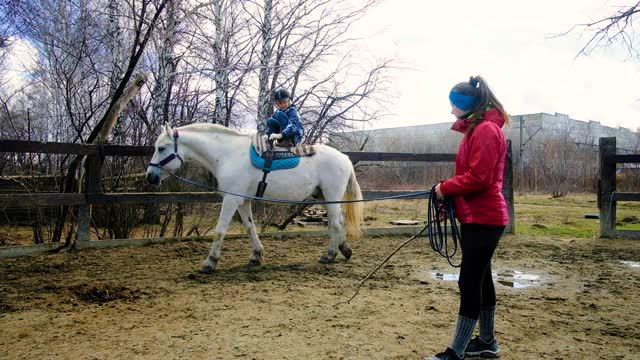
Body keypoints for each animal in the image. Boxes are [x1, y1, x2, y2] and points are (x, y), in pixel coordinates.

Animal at [147, 122, 362, 272]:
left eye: (161, 148)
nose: (150, 176)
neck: (228, 155)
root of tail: (344, 157)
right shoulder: (242, 200)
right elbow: (250, 228)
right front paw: (256, 256)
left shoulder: (231, 199)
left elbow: (219, 231)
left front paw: (210, 262)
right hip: (324, 197)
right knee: (338, 221)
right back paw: (344, 249)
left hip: (331, 196)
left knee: (335, 223)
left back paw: (329, 255)